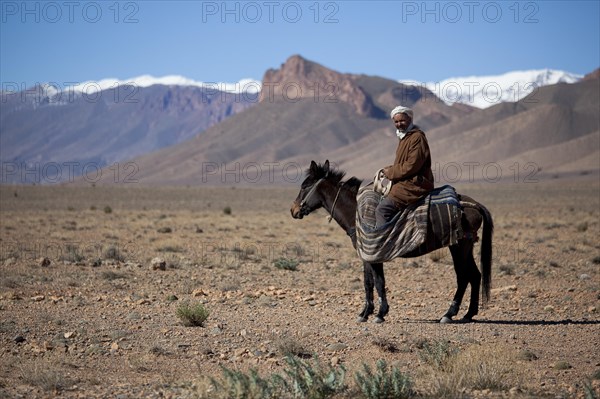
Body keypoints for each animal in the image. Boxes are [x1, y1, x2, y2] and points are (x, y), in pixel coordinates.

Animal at [290, 160, 492, 324]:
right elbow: (368, 282)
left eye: (305, 186)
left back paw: (449, 314)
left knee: (463, 277)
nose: (294, 210)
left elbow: (379, 282)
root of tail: (474, 205)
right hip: (465, 246)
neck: (356, 212)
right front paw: (365, 313)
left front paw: (380, 314)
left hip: (458, 247)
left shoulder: (374, 254)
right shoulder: (366, 255)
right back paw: (468, 314)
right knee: (475, 275)